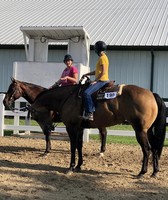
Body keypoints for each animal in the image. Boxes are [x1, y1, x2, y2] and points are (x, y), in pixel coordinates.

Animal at [28, 79, 167, 177]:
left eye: (36, 116)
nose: (48, 129)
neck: (68, 97)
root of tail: (151, 93)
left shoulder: (71, 128)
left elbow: (73, 147)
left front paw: (71, 167)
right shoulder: (80, 128)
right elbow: (79, 147)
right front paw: (78, 166)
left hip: (140, 131)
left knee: (146, 149)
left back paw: (142, 173)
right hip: (148, 131)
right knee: (155, 149)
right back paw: (154, 172)